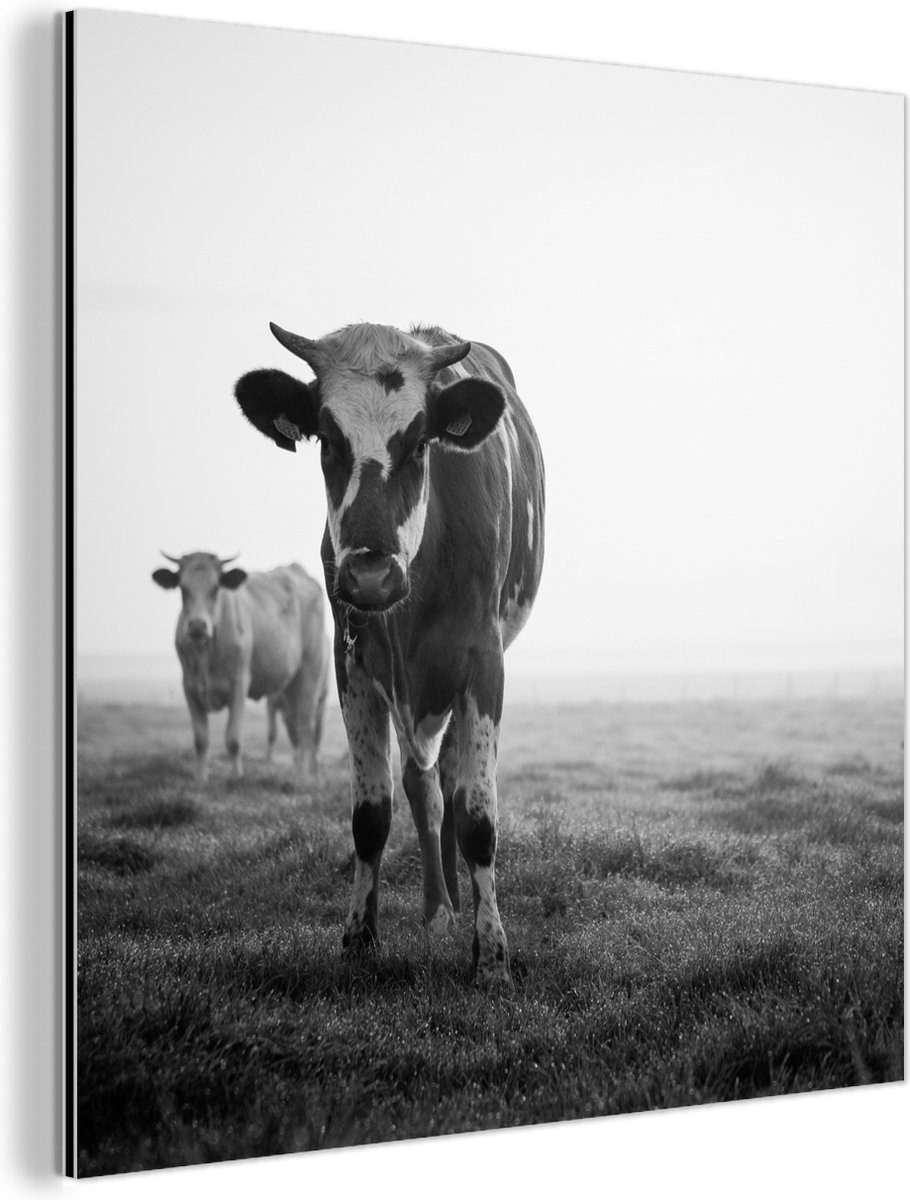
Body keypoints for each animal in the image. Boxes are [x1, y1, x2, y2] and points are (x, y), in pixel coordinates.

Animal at [152, 552, 330, 787]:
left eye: (215, 589)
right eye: (183, 588)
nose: (198, 626)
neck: (206, 651)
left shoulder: (238, 685)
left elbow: (233, 739)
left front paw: (236, 777)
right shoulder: (189, 687)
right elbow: (200, 740)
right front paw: (200, 779)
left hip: (309, 676)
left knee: (306, 727)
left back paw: (303, 778)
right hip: (289, 688)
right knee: (297, 733)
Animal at [234, 323, 545, 986]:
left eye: (420, 443)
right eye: (327, 441)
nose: (372, 576)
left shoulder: (484, 663)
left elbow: (478, 819)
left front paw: (492, 955)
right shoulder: (350, 665)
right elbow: (372, 816)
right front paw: (359, 938)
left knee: (451, 784)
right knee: (425, 786)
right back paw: (438, 909)